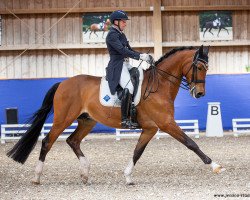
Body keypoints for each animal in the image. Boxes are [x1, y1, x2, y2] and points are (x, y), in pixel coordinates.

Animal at [6, 45, 226, 184]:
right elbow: (191, 143)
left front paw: (128, 176)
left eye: (207, 68)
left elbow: (137, 152)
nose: (199, 94)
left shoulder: (150, 128)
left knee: (73, 141)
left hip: (87, 121)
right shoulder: (166, 124)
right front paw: (215, 166)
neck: (159, 86)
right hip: (63, 118)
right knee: (47, 142)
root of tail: (63, 83)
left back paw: (85, 174)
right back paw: (37, 177)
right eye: (199, 67)